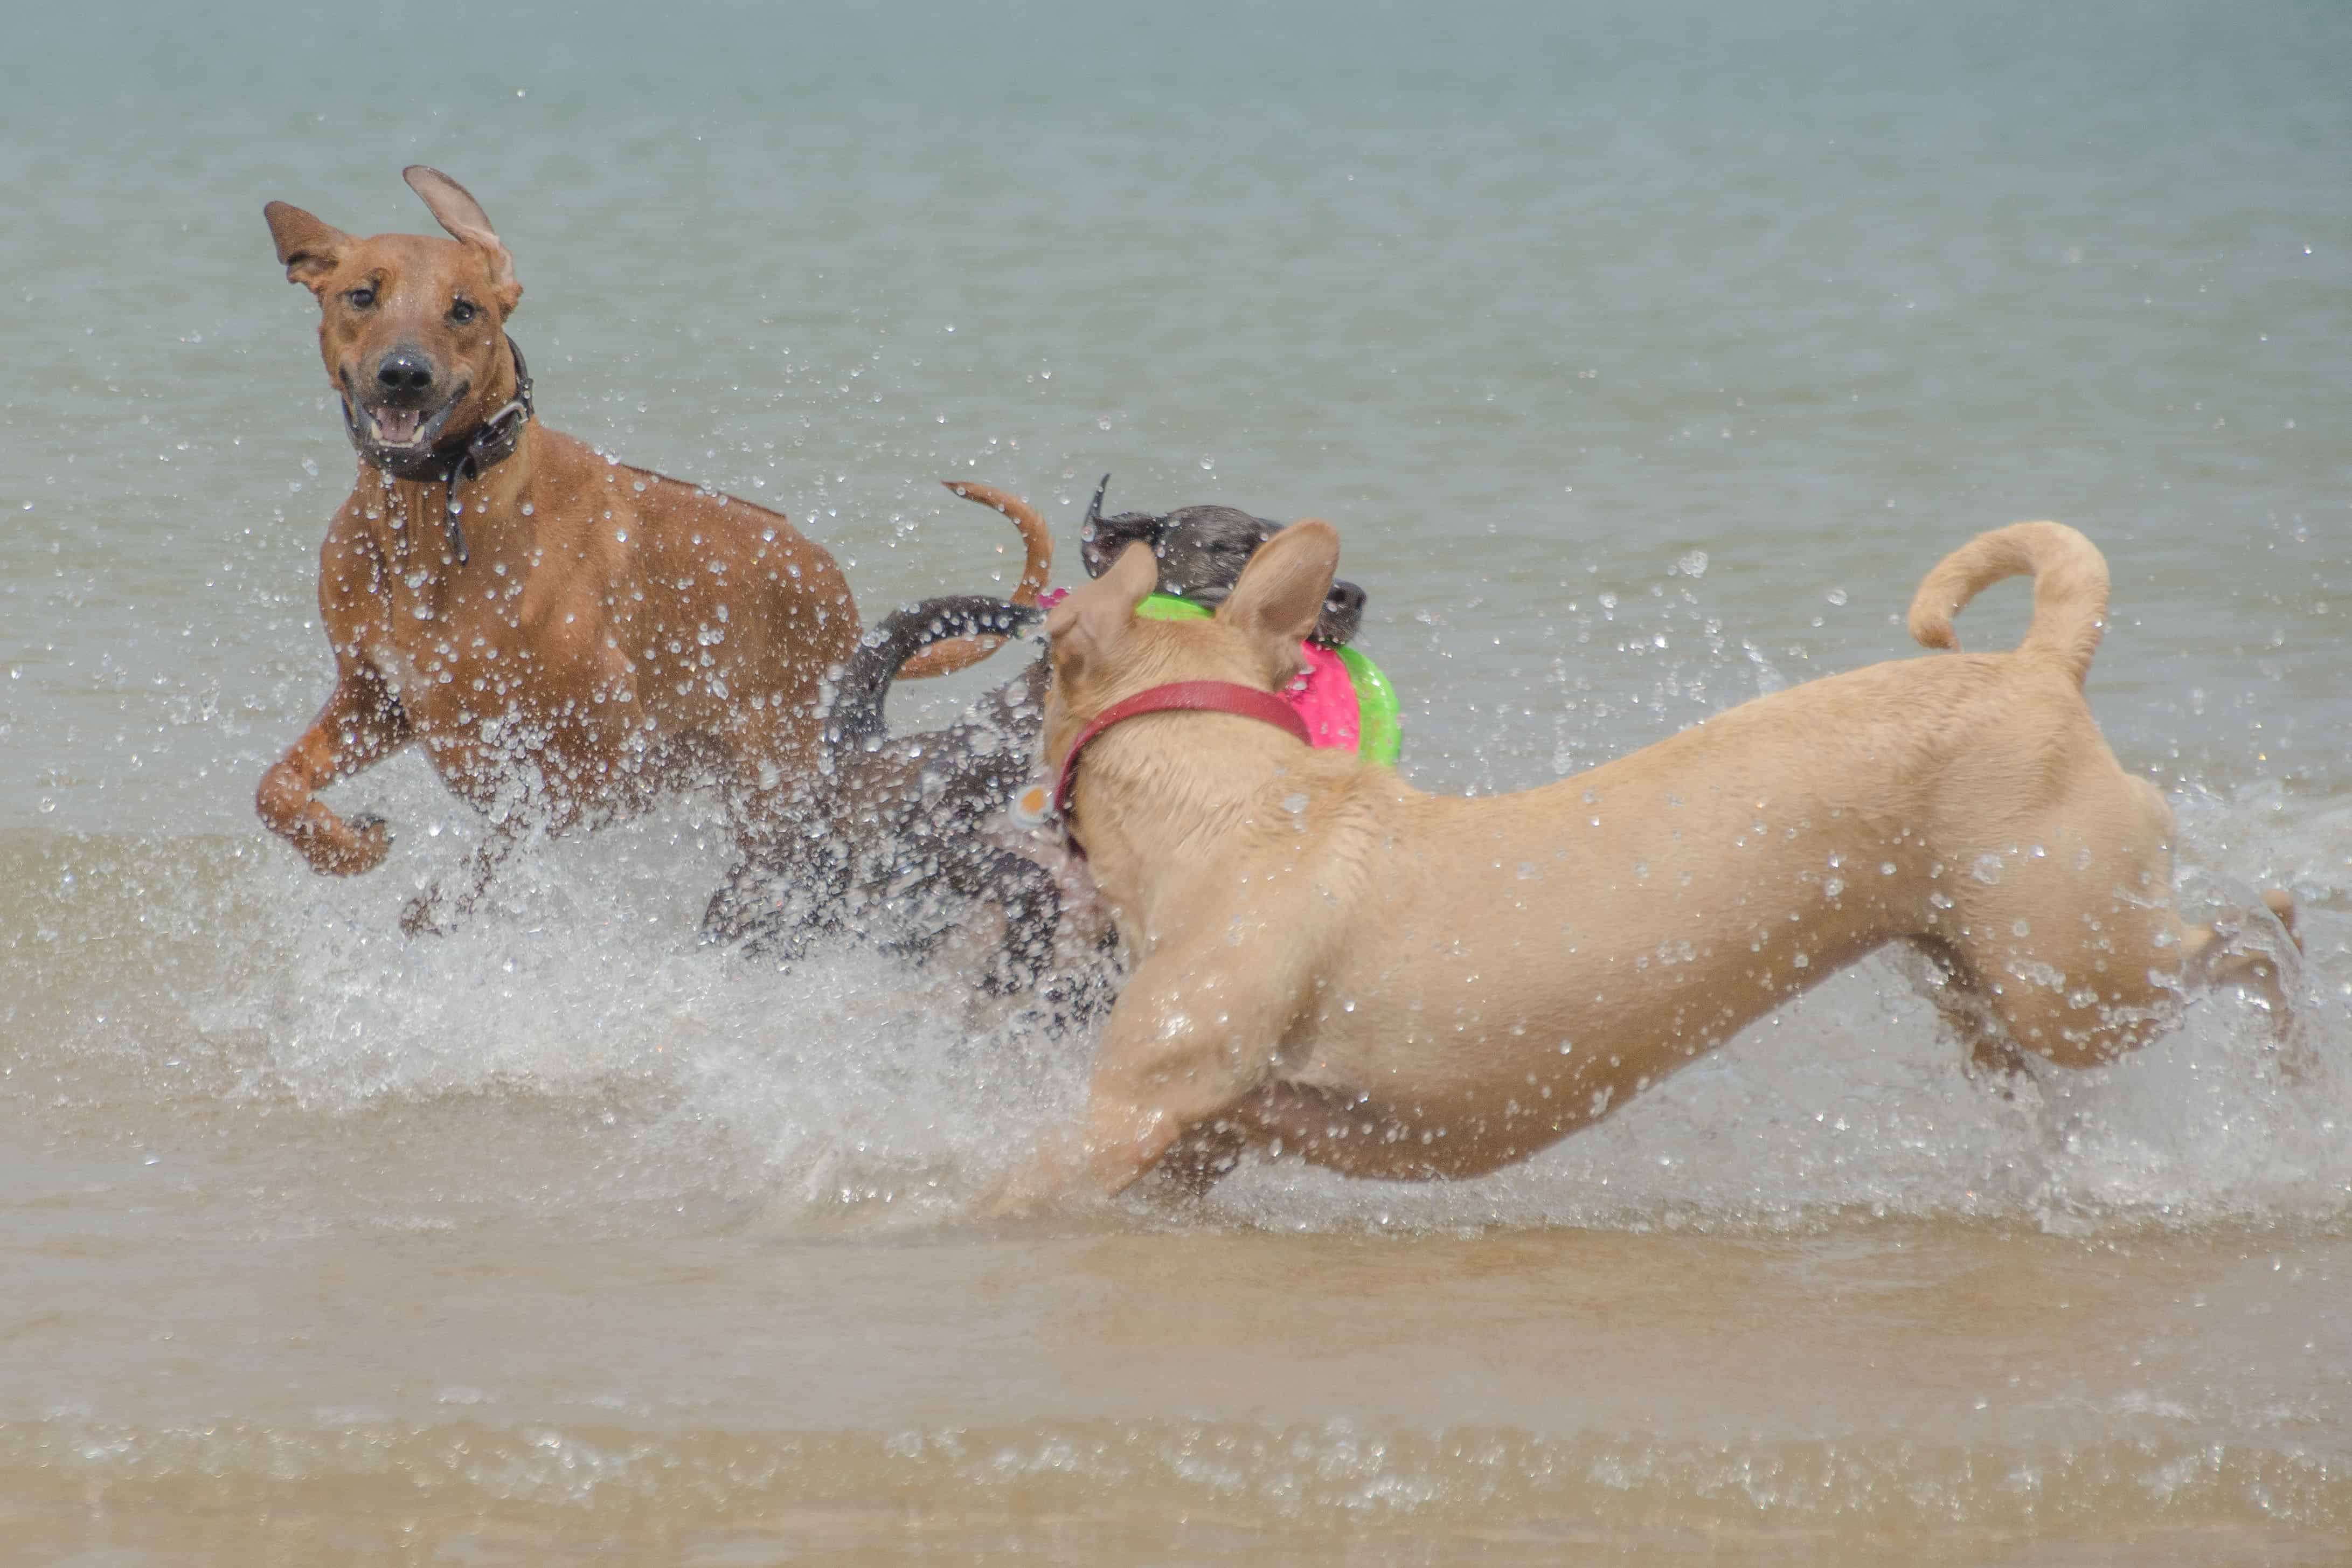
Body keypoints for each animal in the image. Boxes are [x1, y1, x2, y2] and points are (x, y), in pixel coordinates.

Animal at [250, 171, 1049, 931]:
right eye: (362, 295)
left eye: (464, 310)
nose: (404, 375)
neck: (434, 515)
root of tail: (846, 615)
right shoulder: (376, 698)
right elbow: (275, 789)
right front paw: (349, 849)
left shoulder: (606, 761)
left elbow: (512, 824)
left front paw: (438, 900)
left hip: (772, 790)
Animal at [997, 522, 2295, 1213]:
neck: (1229, 800)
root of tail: (2037, 669)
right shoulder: (1195, 1143)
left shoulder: (1128, 1114)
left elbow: (1009, 1186)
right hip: (1982, 978)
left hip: (2078, 966)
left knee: (2257, 932)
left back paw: (2291, 1059)